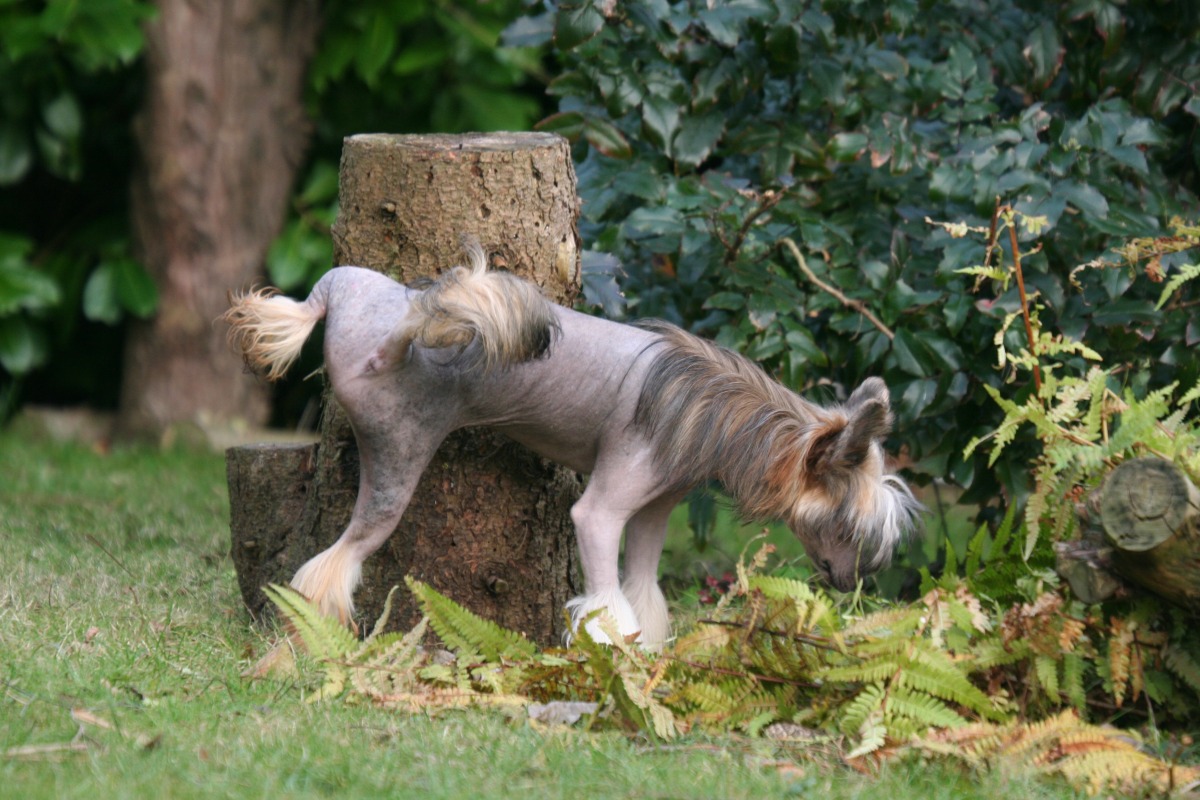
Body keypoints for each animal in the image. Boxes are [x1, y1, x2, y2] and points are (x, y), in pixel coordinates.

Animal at [223, 244, 916, 652]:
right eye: (848, 527)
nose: (853, 582)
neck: (702, 404)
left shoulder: (653, 514)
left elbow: (643, 591)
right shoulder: (601, 512)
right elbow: (608, 601)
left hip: (366, 297)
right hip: (396, 449)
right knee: (337, 560)